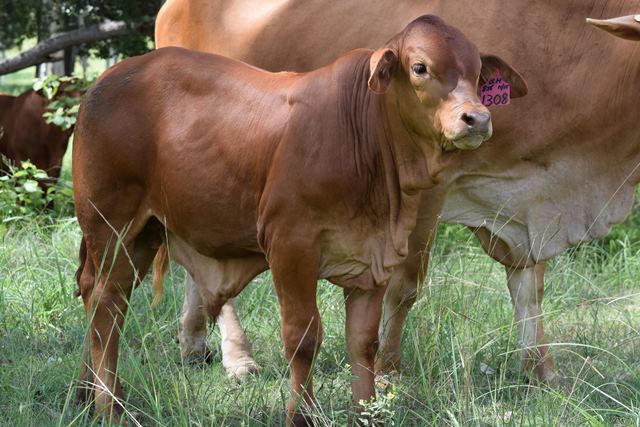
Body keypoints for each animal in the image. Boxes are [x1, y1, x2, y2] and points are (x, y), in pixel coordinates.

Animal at [73, 15, 525, 424]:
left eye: (478, 73)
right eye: (420, 68)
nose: (477, 118)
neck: (365, 135)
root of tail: (108, 78)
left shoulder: (374, 259)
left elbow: (363, 342)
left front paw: (365, 411)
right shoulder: (291, 245)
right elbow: (303, 338)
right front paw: (301, 415)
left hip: (144, 234)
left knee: (100, 300)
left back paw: (86, 392)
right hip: (110, 225)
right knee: (103, 303)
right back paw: (108, 405)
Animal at [155, 0, 640, 383]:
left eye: (479, 75)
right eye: (420, 68)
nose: (478, 120)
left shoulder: (522, 202)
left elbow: (528, 284)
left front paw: (541, 371)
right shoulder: (429, 190)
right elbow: (405, 285)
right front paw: (388, 369)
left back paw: (194, 344)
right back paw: (239, 358)